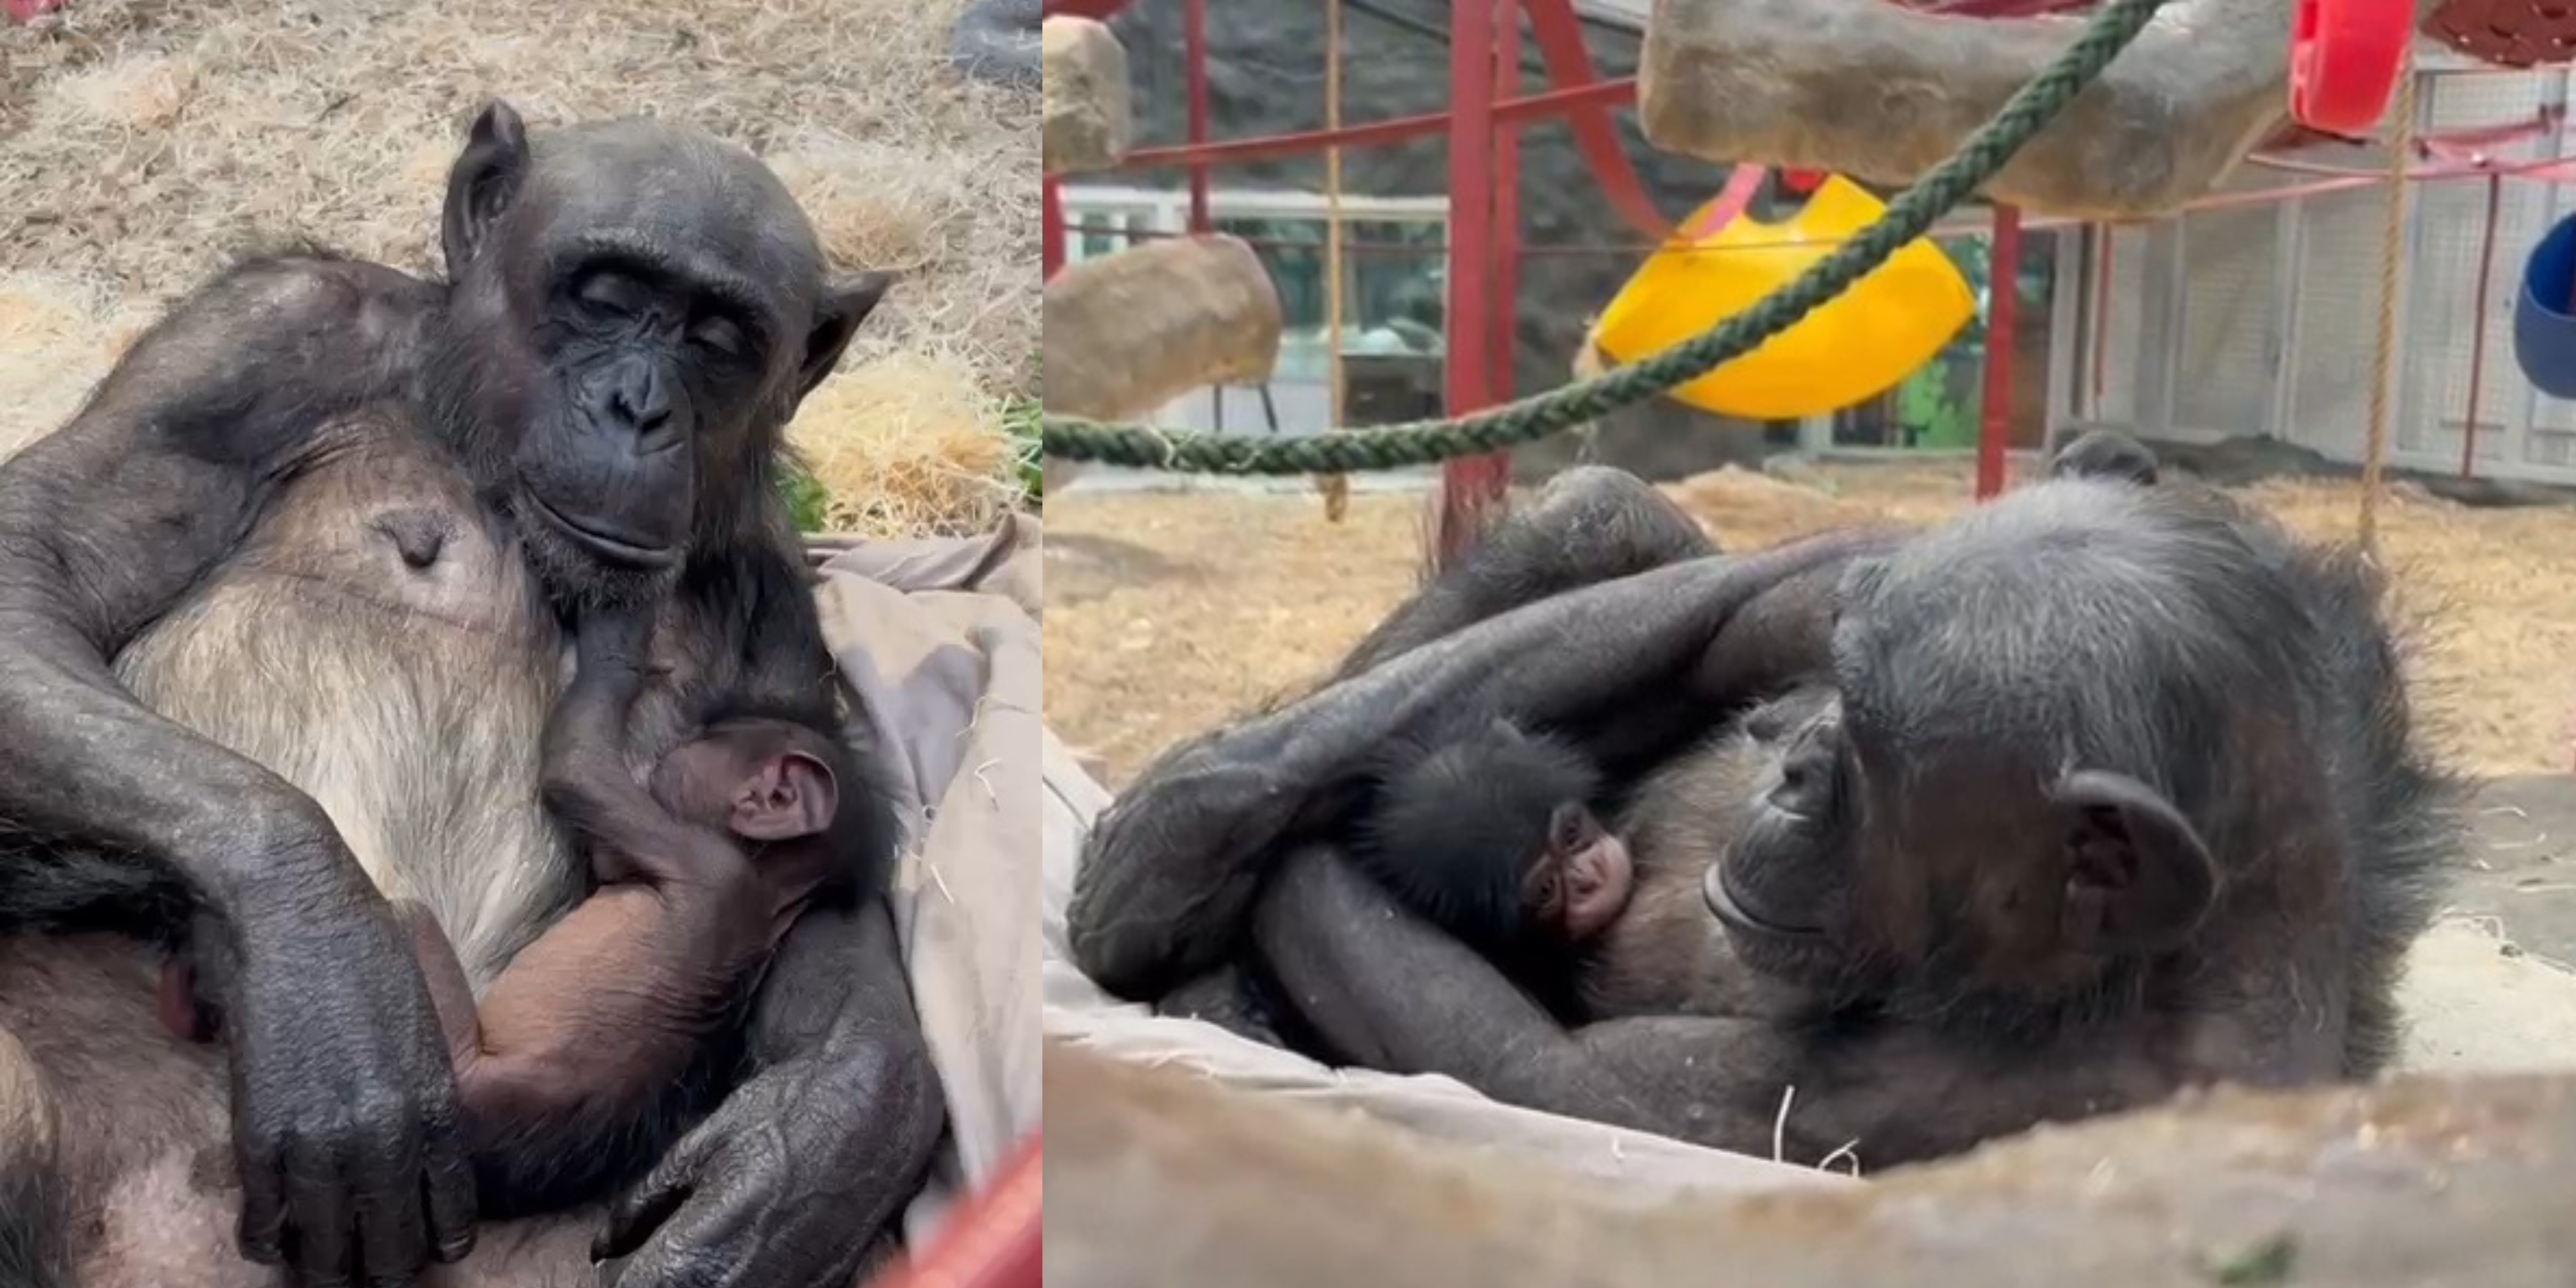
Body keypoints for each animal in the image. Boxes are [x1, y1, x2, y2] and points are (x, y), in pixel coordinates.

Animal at [0, 102, 942, 1288]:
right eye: (606, 296)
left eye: (718, 341)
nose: (639, 409)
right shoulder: (254, 336)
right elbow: (42, 556)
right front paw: (330, 975)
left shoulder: (770, 582)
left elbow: (830, 887)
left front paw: (797, 1164)